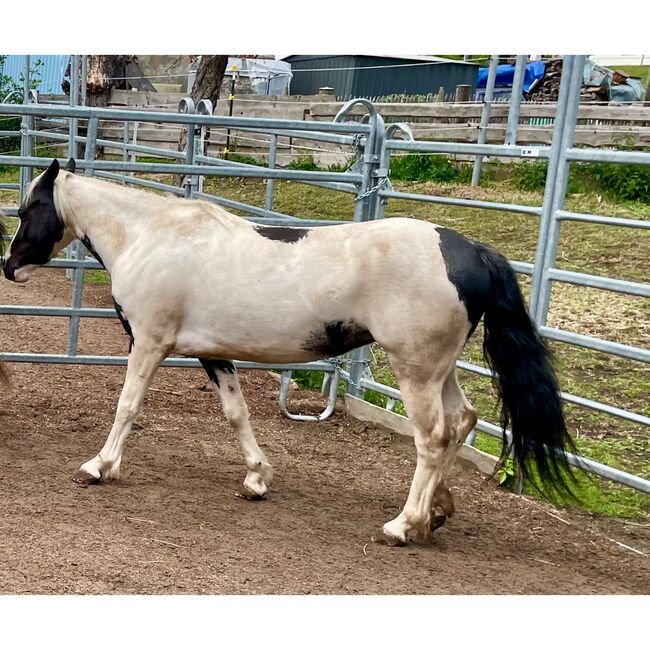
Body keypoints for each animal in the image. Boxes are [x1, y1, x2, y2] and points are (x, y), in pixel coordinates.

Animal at [3, 159, 572, 544]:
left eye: (30, 208)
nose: (9, 267)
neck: (151, 237)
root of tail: (470, 250)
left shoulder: (149, 343)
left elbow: (127, 405)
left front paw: (98, 466)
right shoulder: (213, 353)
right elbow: (236, 413)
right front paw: (257, 478)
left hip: (415, 371)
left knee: (432, 438)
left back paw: (402, 525)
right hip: (439, 370)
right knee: (462, 422)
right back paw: (435, 513)